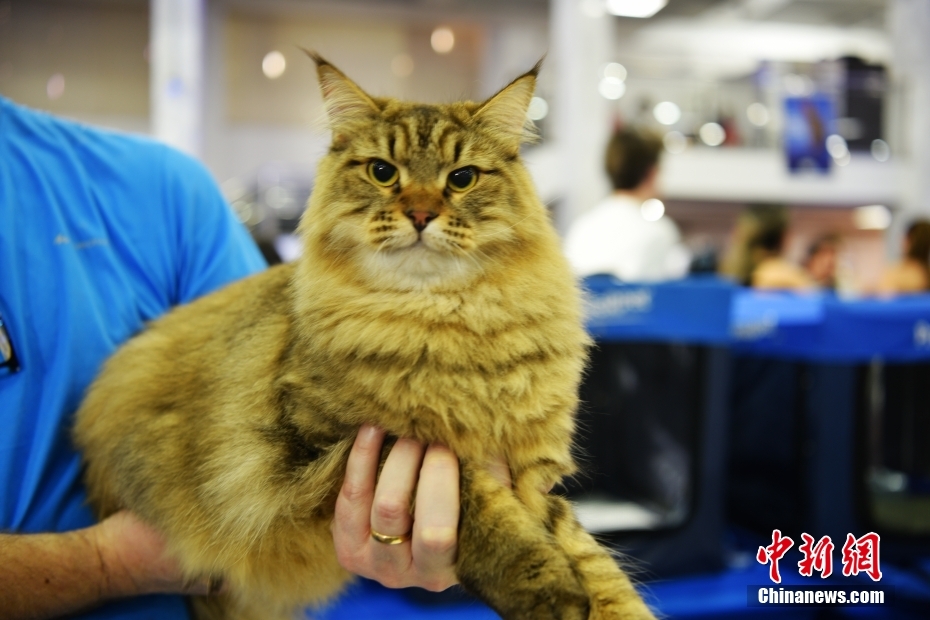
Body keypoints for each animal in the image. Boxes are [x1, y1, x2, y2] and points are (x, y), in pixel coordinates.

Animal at [72, 54, 652, 620]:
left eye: (462, 178)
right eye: (382, 173)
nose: (421, 213)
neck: (447, 326)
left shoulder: (525, 477)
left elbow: (590, 559)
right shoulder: (341, 441)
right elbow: (482, 510)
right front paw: (545, 586)